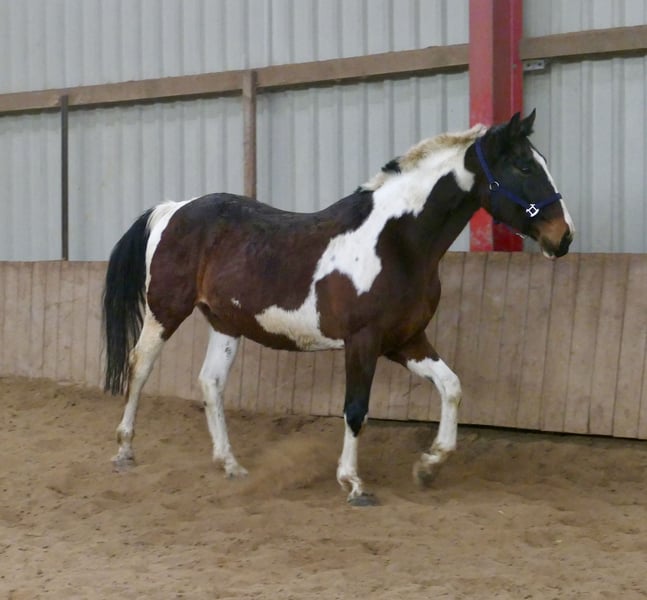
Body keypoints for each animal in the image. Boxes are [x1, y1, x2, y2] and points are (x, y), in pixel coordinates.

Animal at [102, 111, 574, 506]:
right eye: (525, 166)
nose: (563, 237)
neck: (395, 242)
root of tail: (172, 210)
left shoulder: (406, 341)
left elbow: (451, 386)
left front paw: (429, 465)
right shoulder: (363, 342)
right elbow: (356, 409)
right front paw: (354, 483)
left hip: (225, 323)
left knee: (211, 383)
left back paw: (231, 465)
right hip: (166, 311)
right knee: (140, 365)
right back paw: (124, 451)